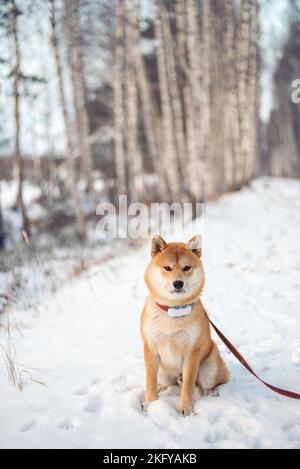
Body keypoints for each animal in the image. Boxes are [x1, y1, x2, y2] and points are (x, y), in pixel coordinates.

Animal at [141, 236, 230, 414]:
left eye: (187, 267)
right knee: (170, 382)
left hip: (209, 369)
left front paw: (185, 407)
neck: (173, 310)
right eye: (167, 268)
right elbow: (150, 381)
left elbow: (188, 384)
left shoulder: (192, 352)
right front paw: (151, 403)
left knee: (212, 382)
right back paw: (164, 386)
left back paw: (212, 392)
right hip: (163, 371)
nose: (178, 283)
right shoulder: (151, 349)